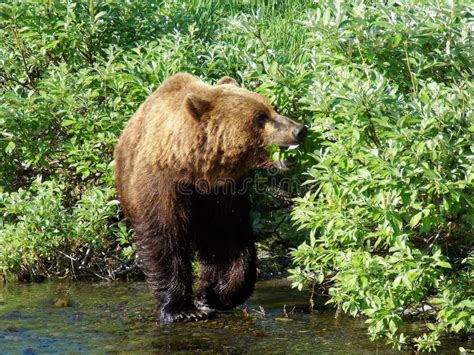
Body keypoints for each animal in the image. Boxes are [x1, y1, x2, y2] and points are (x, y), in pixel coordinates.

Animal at [115, 73, 308, 324]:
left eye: (273, 108)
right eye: (260, 117)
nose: (299, 129)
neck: (195, 167)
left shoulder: (224, 191)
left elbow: (228, 237)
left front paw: (215, 295)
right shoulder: (161, 185)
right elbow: (164, 237)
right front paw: (182, 309)